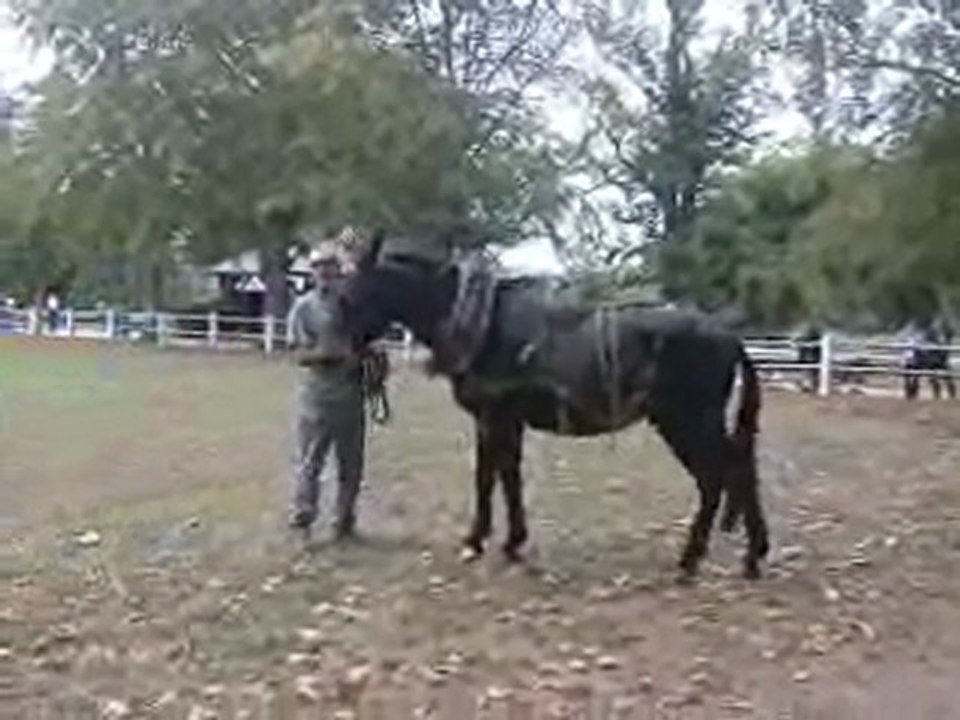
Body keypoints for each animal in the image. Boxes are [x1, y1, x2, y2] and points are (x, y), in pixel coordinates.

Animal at [339, 238, 771, 580]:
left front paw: (477, 542)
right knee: (737, 468)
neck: (483, 324)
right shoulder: (504, 421)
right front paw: (511, 543)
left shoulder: (494, 418)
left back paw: (691, 559)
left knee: (715, 476)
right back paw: (752, 557)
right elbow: (506, 477)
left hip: (686, 421)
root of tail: (727, 335)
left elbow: (487, 477)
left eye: (353, 292)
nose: (344, 351)